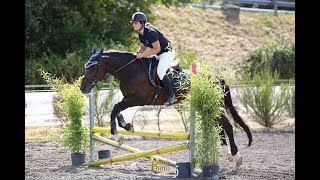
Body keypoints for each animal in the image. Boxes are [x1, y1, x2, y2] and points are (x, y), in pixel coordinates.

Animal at [80, 48, 252, 167]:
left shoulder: (138, 99)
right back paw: (227, 154)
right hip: (210, 106)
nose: (83, 88)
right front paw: (127, 126)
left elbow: (115, 108)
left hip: (216, 105)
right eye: (86, 67)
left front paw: (118, 137)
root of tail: (216, 78)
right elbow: (116, 111)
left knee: (227, 126)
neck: (130, 71)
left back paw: (236, 156)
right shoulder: (128, 98)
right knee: (220, 126)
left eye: (92, 68)